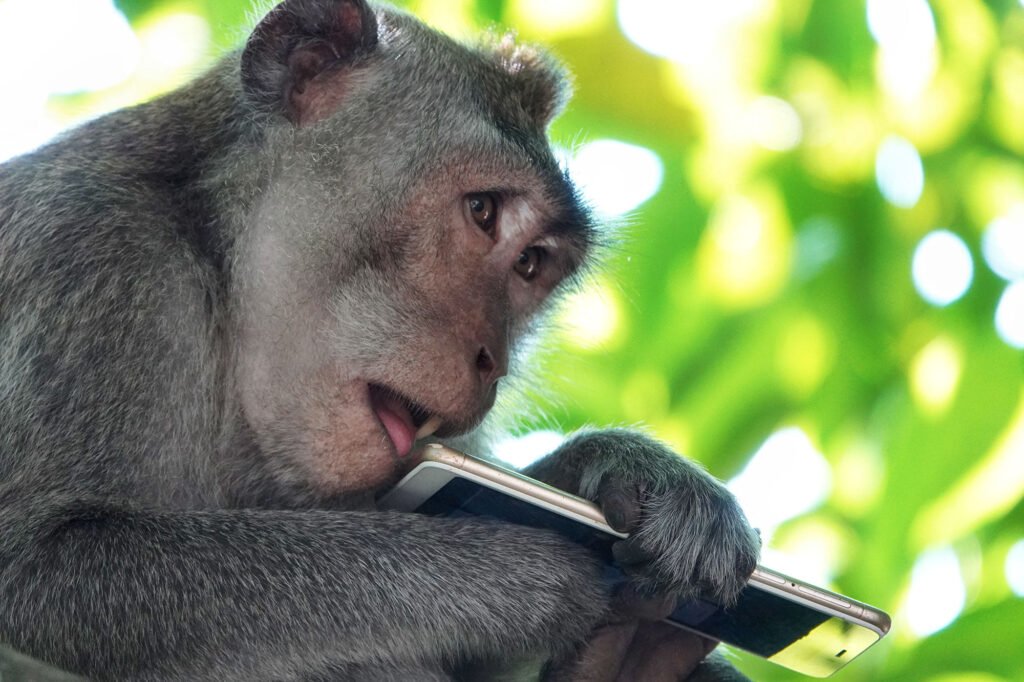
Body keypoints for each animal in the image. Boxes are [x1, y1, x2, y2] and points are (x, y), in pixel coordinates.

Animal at [0, 1, 760, 679]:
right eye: (483, 211)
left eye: (532, 263)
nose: (492, 364)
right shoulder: (88, 254)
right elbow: (43, 572)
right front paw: (505, 574)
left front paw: (627, 472)